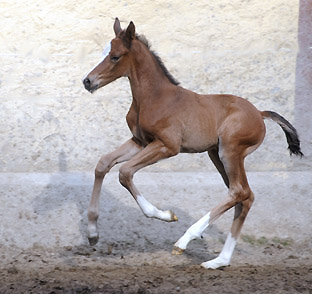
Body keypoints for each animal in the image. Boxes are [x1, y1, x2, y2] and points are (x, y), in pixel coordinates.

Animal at [83, 18, 302, 268]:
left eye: (115, 56)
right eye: (103, 53)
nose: (87, 81)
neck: (154, 97)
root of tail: (260, 113)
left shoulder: (167, 146)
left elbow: (125, 172)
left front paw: (166, 215)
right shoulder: (140, 142)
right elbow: (103, 164)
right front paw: (92, 233)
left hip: (230, 151)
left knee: (238, 191)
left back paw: (185, 241)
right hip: (217, 155)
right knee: (245, 196)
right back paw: (219, 261)